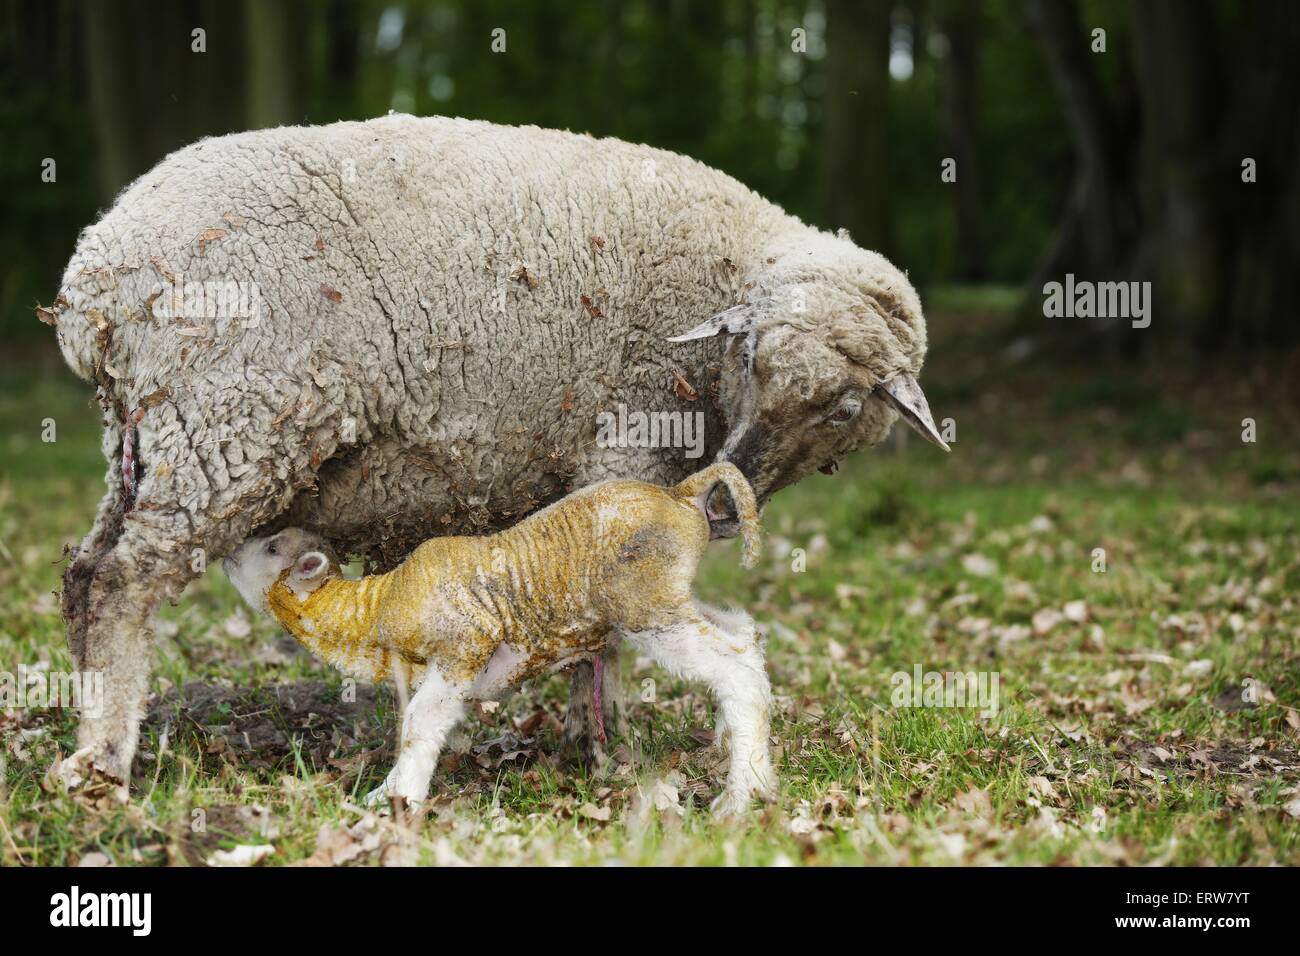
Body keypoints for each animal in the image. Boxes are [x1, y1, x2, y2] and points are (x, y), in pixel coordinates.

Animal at [222, 463, 776, 816]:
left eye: (272, 547)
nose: (230, 552)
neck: (371, 608)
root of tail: (681, 495)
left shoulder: (465, 645)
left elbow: (419, 725)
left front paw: (401, 797)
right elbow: (418, 723)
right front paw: (389, 791)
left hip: (645, 606)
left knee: (733, 667)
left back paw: (742, 793)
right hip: (665, 597)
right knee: (744, 637)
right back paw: (736, 749)